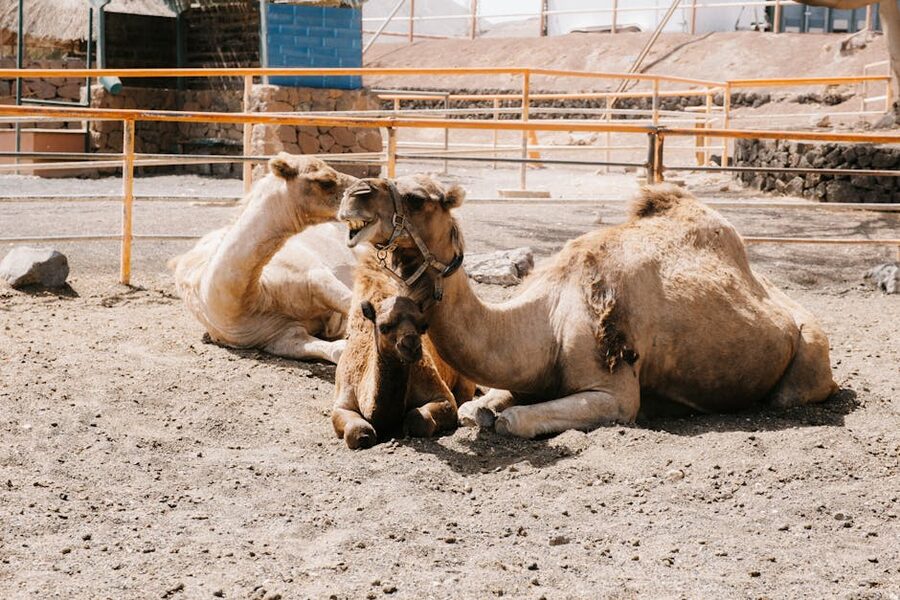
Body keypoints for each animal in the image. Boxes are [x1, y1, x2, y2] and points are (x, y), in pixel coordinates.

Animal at [332, 251, 475, 449]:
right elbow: (358, 431)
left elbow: (419, 420)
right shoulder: (342, 401)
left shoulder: (442, 396)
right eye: (383, 327)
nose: (411, 346)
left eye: (423, 326)